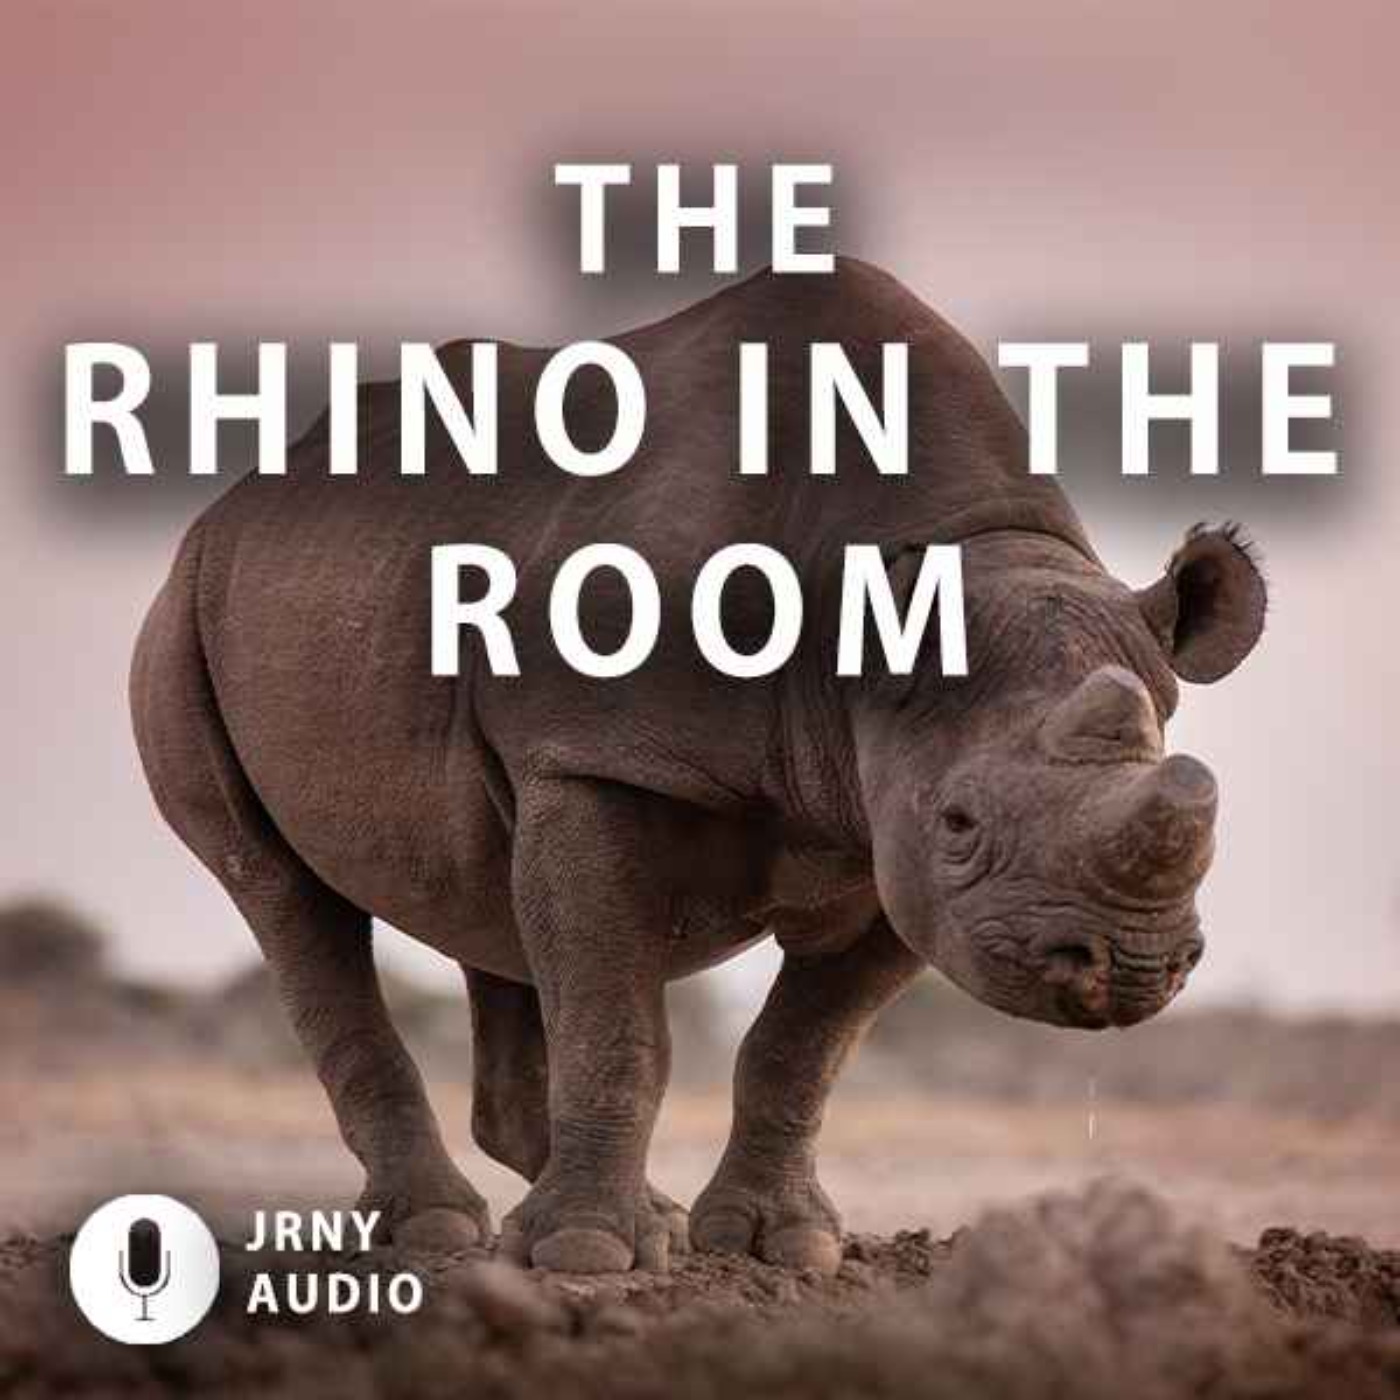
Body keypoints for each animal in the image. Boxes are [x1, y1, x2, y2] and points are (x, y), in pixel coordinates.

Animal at [131, 259, 1266, 1275]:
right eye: (960, 822)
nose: (1128, 967)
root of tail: (231, 504)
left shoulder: (888, 842)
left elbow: (799, 1047)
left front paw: (778, 1248)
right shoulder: (599, 759)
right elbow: (621, 1025)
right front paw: (589, 1256)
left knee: (491, 908)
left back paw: (639, 1223)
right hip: (185, 608)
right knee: (279, 890)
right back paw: (449, 1233)